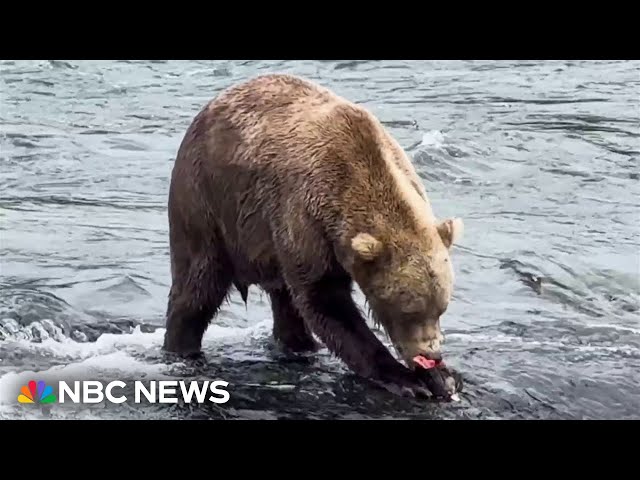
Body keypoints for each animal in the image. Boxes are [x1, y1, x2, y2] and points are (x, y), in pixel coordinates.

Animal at [164, 72, 464, 402]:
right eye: (409, 310)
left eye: (441, 308)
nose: (431, 355)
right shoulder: (305, 218)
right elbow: (324, 300)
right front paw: (404, 379)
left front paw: (443, 378)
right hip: (206, 205)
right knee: (197, 286)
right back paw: (181, 349)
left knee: (284, 300)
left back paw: (299, 345)